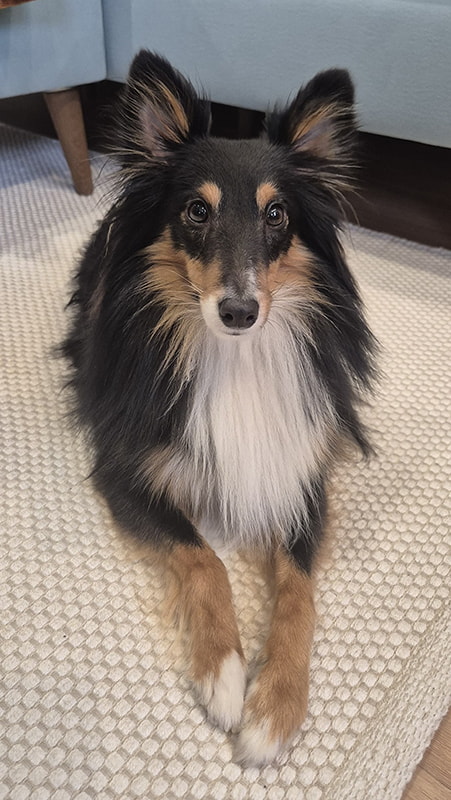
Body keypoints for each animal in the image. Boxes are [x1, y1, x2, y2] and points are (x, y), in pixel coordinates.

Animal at [63, 50, 375, 766]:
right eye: (196, 212)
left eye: (277, 214)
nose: (239, 311)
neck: (237, 357)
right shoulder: (125, 472)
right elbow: (203, 555)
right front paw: (224, 677)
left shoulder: (300, 475)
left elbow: (299, 592)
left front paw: (274, 709)